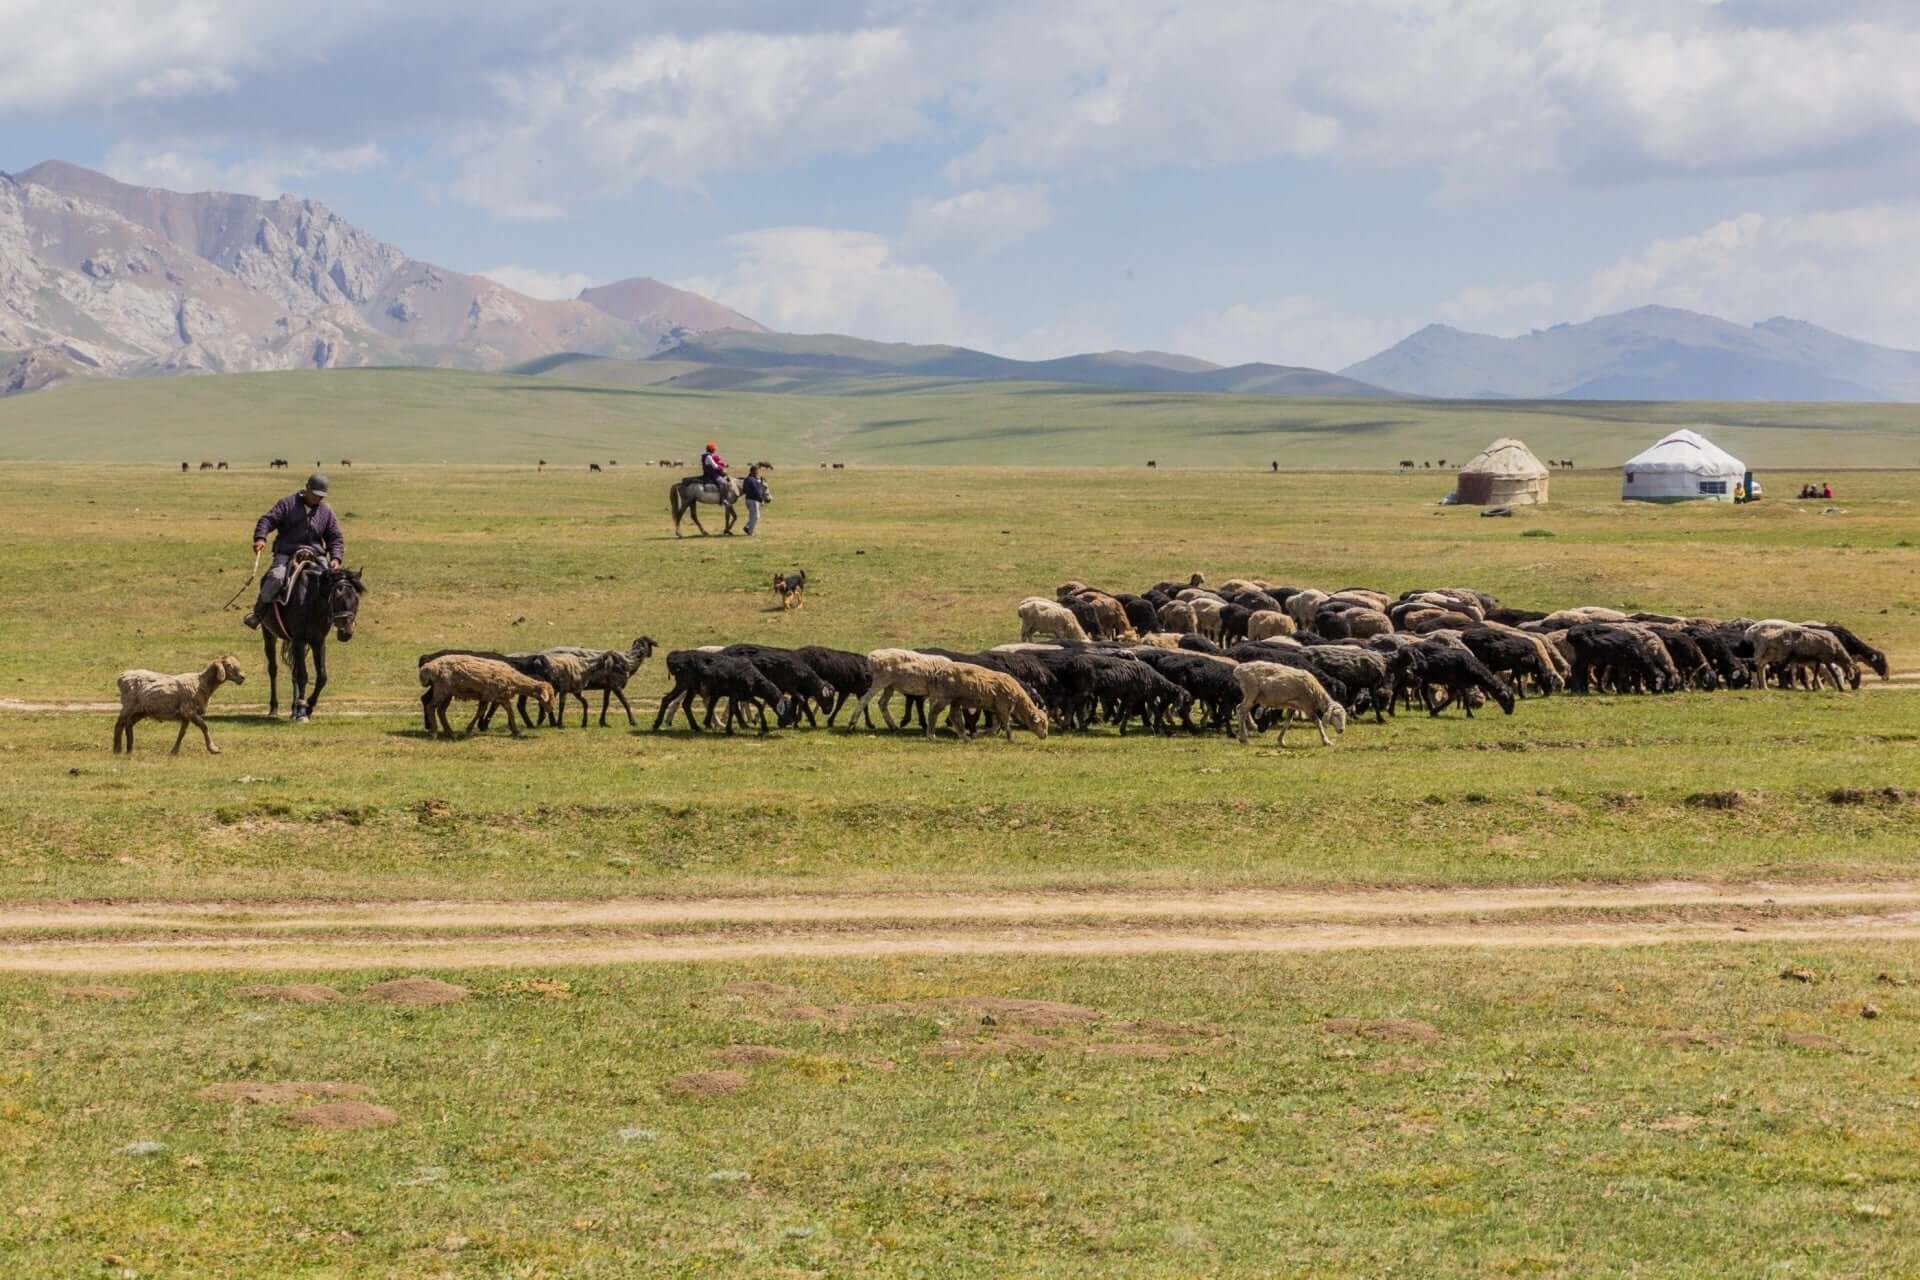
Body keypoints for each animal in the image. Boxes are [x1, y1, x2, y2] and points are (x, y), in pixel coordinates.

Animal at [113, 656, 246, 754]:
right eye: (228, 665)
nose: (243, 677)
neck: (202, 683)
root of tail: (122, 676)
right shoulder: (189, 710)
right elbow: (204, 727)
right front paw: (213, 749)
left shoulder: (185, 715)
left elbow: (182, 733)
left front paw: (174, 751)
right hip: (128, 705)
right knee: (119, 725)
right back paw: (117, 750)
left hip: (140, 710)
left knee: (128, 724)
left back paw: (129, 750)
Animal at [417, 655, 555, 739]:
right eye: (549, 697)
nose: (551, 709)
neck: (514, 680)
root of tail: (428, 668)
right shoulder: (492, 695)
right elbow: (489, 711)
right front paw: (469, 729)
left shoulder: (494, 696)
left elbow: (502, 712)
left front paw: (516, 731)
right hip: (442, 689)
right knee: (431, 707)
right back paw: (434, 732)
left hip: (448, 692)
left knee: (441, 711)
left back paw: (450, 733)